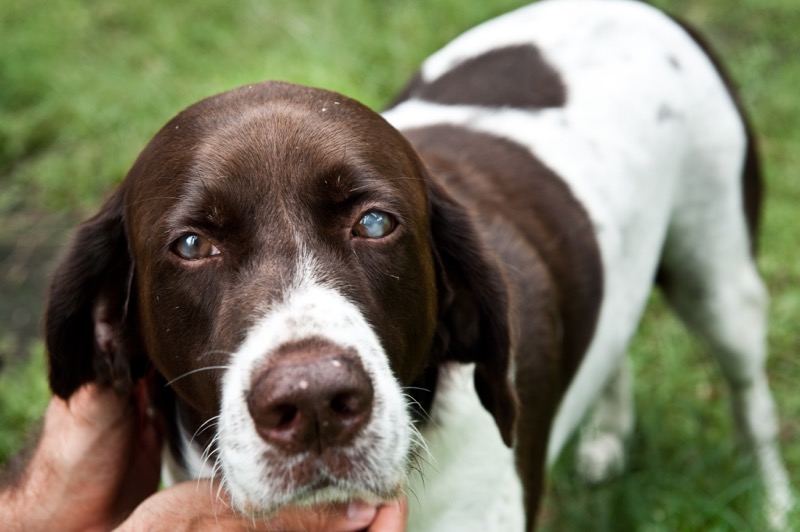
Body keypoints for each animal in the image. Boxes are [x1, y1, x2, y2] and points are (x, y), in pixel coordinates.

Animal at [47, 0, 792, 528]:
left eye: (377, 223)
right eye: (191, 245)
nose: (314, 402)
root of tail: (650, 9)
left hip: (719, 281)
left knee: (750, 398)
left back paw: (774, 502)